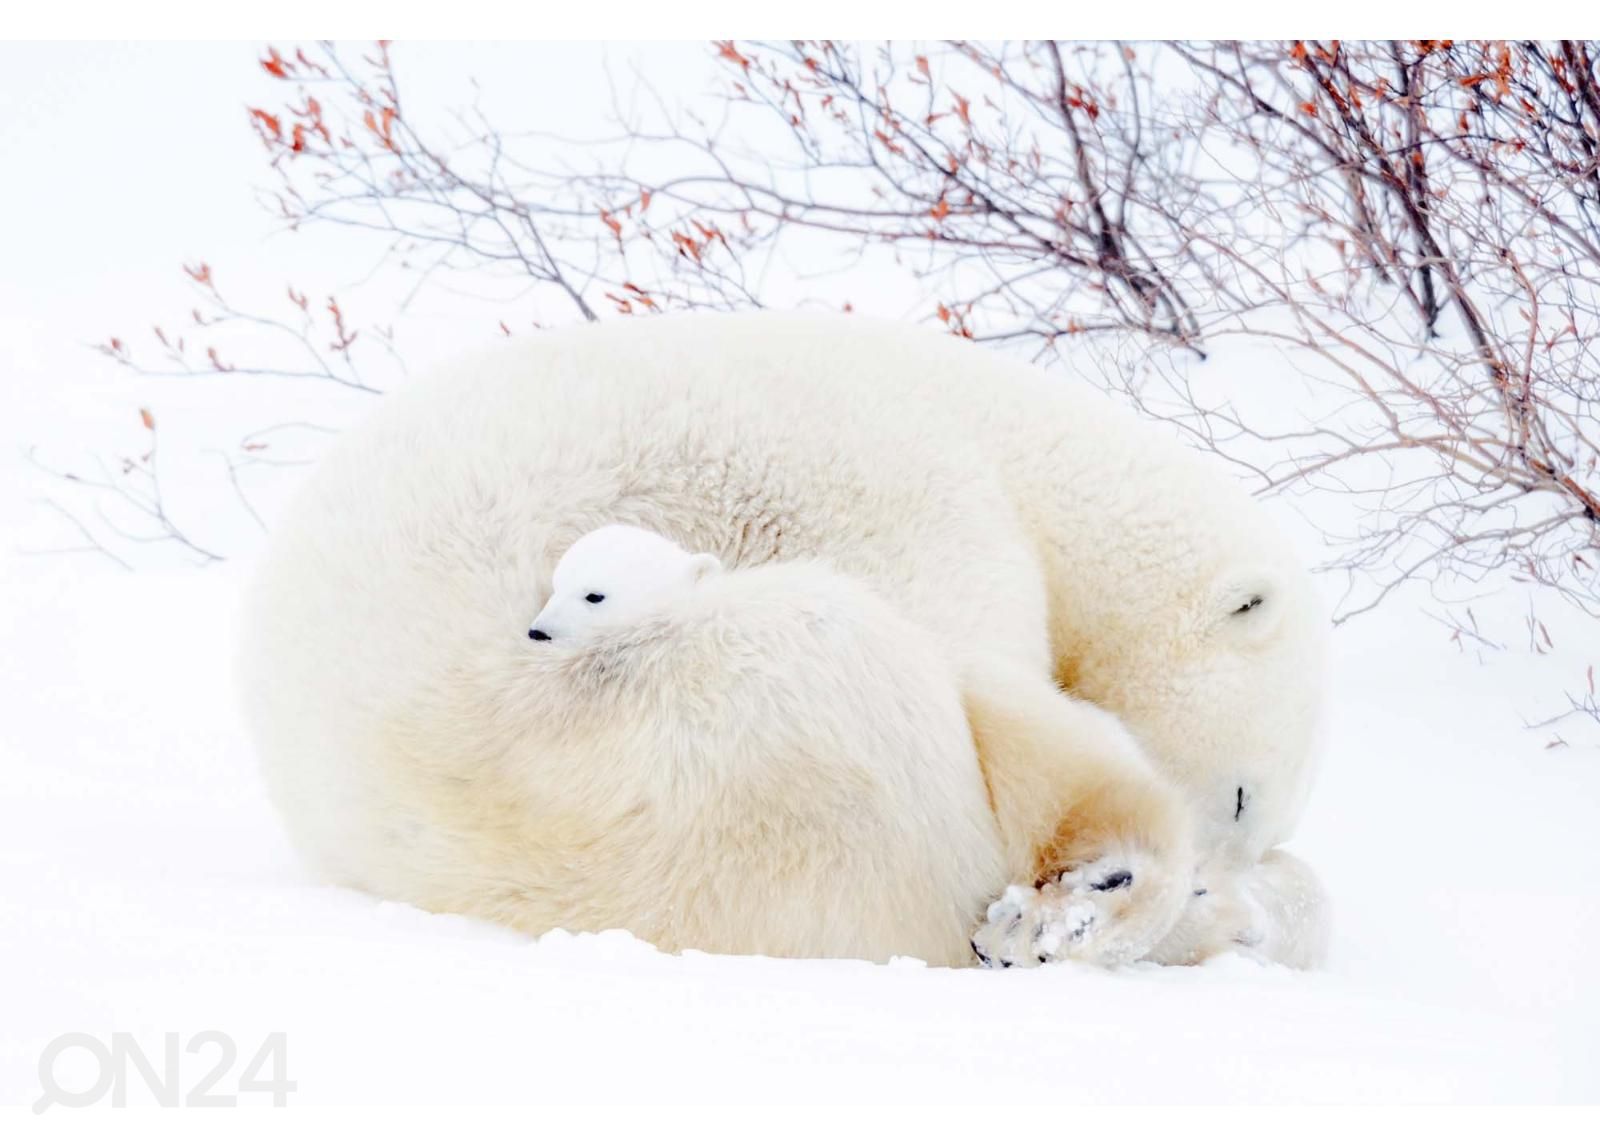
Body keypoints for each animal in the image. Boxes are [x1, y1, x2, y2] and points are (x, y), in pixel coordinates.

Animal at [236, 315, 1331, 972]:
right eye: (1242, 792)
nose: (1225, 871)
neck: (1004, 436)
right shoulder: (893, 482)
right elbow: (980, 656)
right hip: (728, 706)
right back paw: (1082, 900)